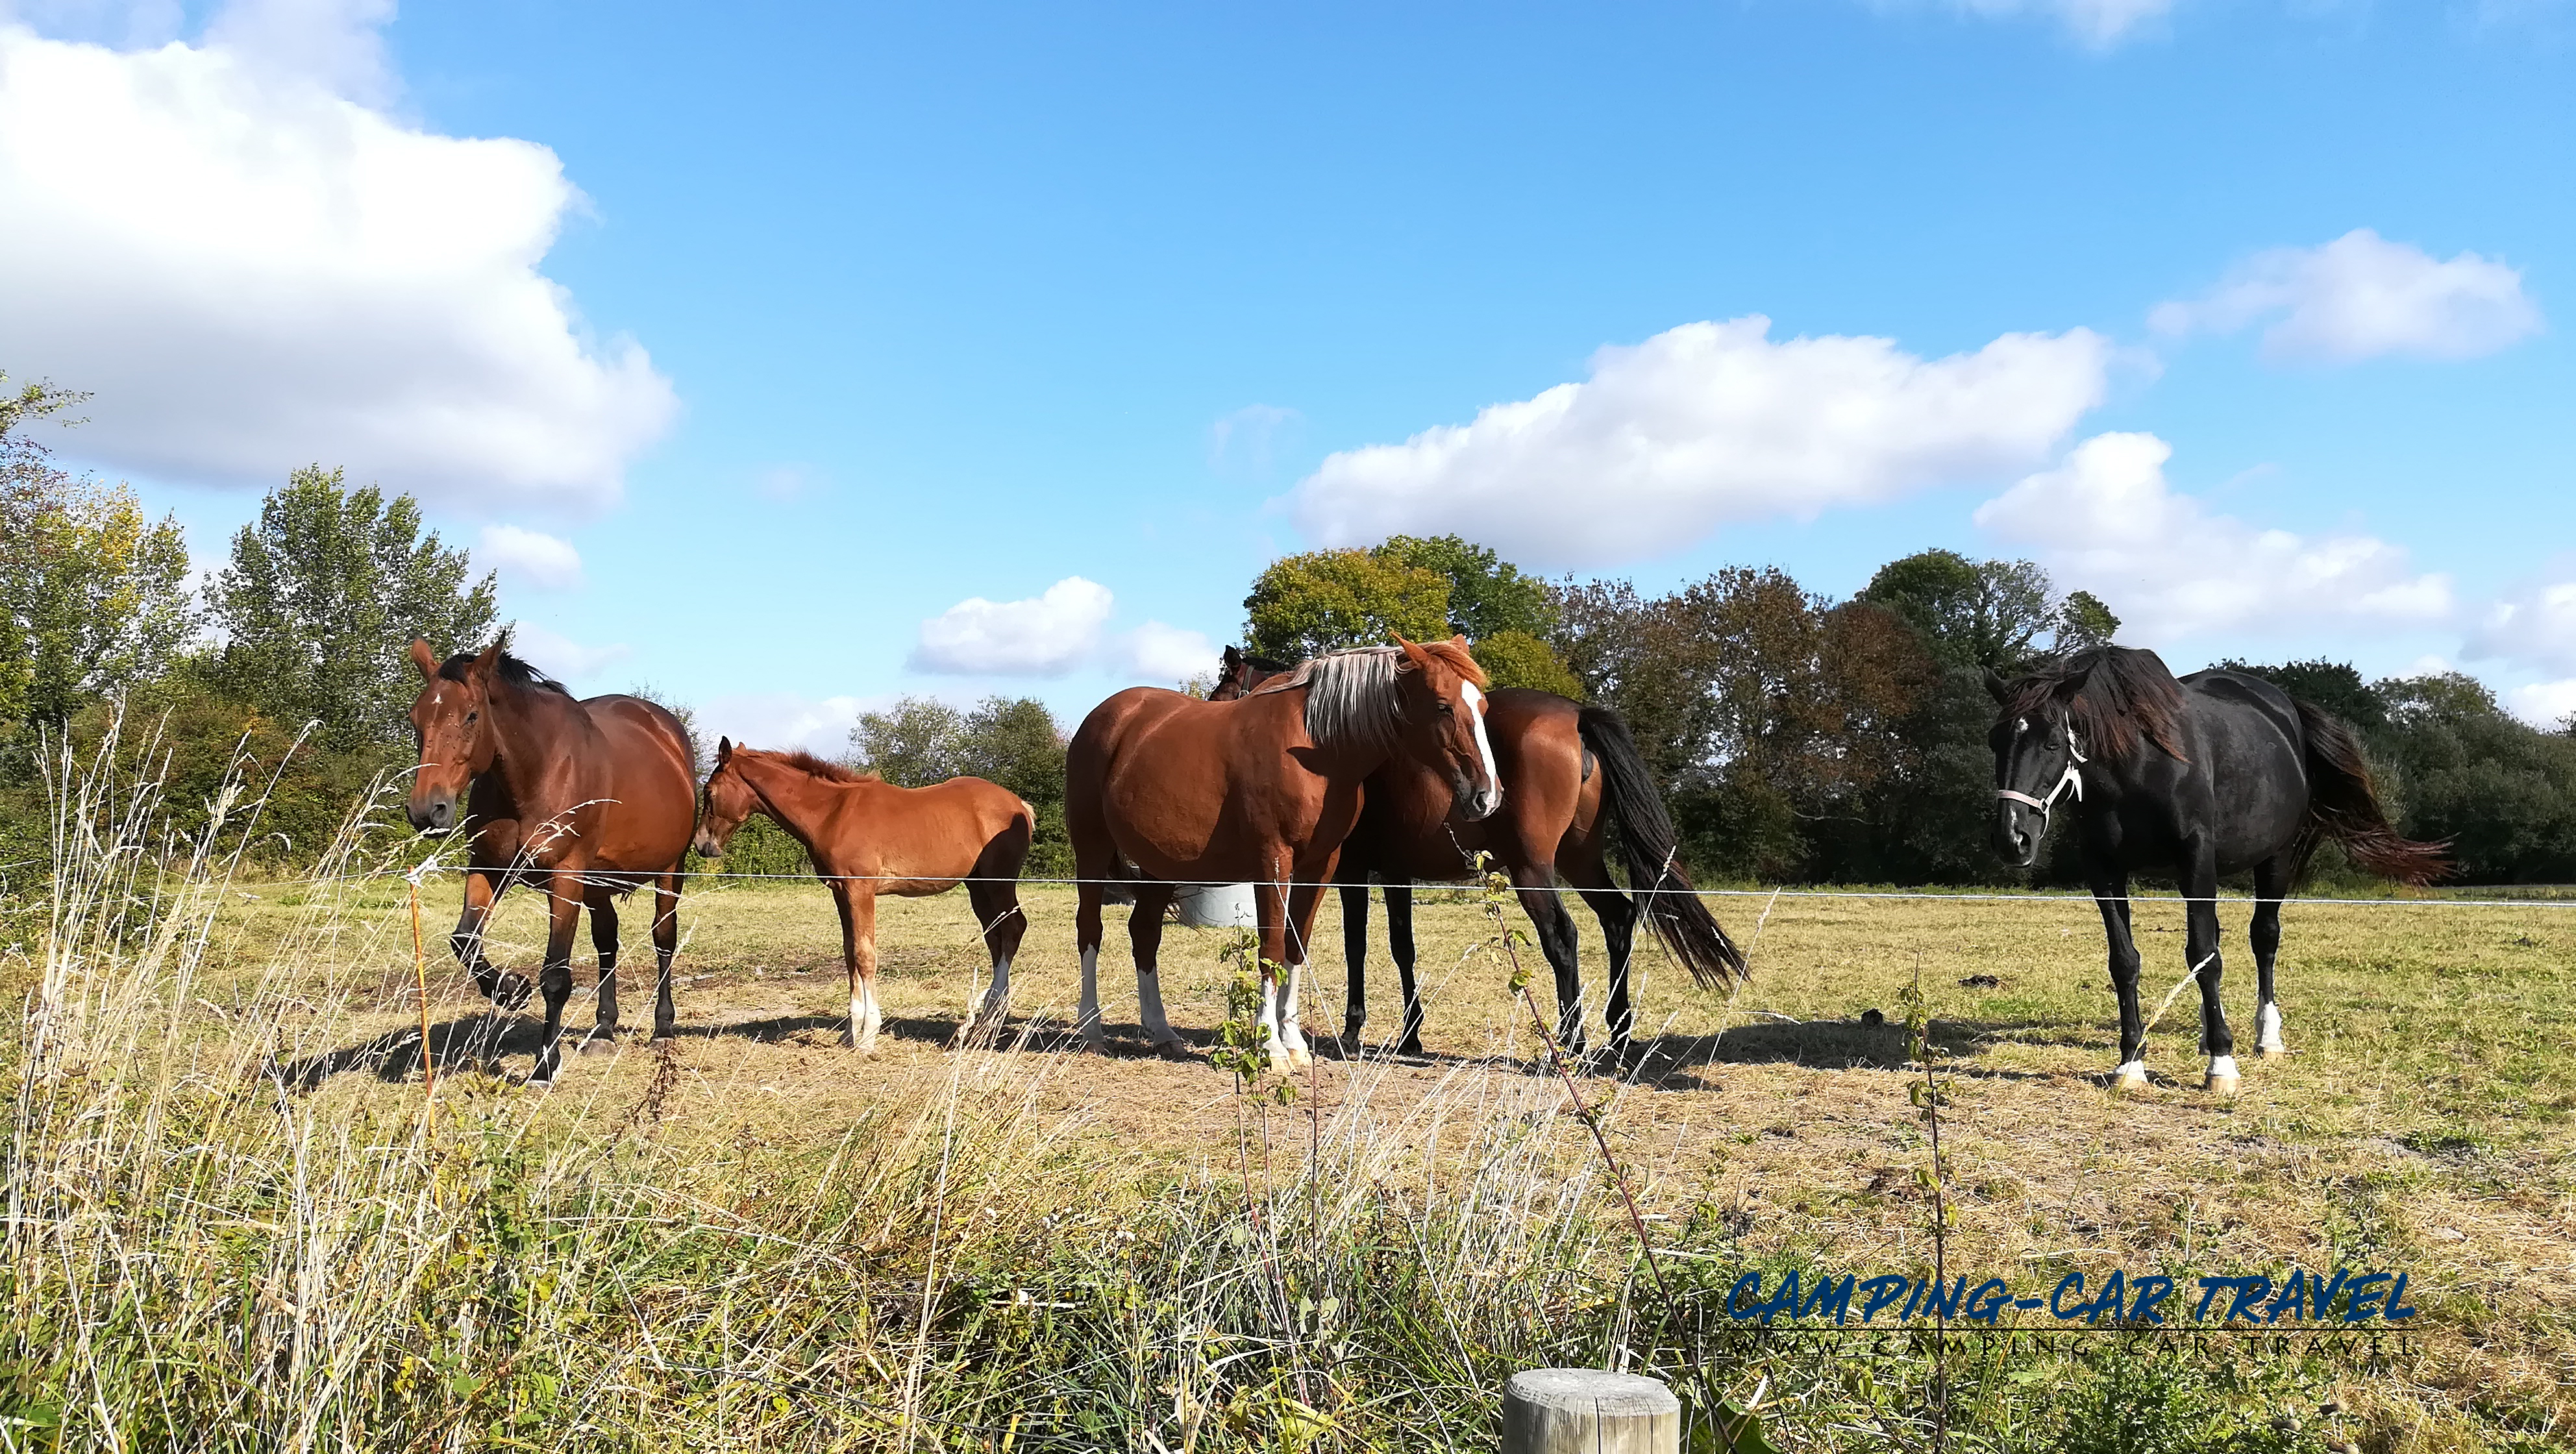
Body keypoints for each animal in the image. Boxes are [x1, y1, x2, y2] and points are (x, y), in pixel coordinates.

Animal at [397, 638, 695, 1090]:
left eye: (471, 715)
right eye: (417, 718)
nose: (427, 810)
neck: (535, 771)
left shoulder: (565, 877)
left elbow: (555, 976)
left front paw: (544, 1066)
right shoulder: (488, 868)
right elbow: (465, 940)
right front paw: (510, 988)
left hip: (667, 872)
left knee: (664, 939)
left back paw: (662, 1029)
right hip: (597, 883)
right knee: (607, 942)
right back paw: (603, 1030)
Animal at [1071, 633, 1504, 1065]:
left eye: (1483, 707)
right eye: (1443, 706)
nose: (1487, 797)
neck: (1319, 747)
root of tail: (1106, 716)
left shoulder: (1321, 866)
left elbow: (1297, 948)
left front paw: (1293, 1040)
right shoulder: (1273, 862)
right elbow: (1272, 946)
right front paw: (1270, 1046)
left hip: (1160, 866)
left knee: (1144, 932)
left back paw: (1162, 1033)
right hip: (1092, 850)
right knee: (1090, 930)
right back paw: (1090, 1030)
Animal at [1988, 641, 2452, 1096]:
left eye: (2052, 743)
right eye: (1995, 742)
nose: (2012, 838)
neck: (2139, 765)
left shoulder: (2197, 861)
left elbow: (2205, 956)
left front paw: (2222, 1063)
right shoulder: (2105, 869)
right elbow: (2125, 961)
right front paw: (2131, 1061)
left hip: (2275, 859)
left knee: (2263, 939)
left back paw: (2266, 1037)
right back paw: (2205, 1033)